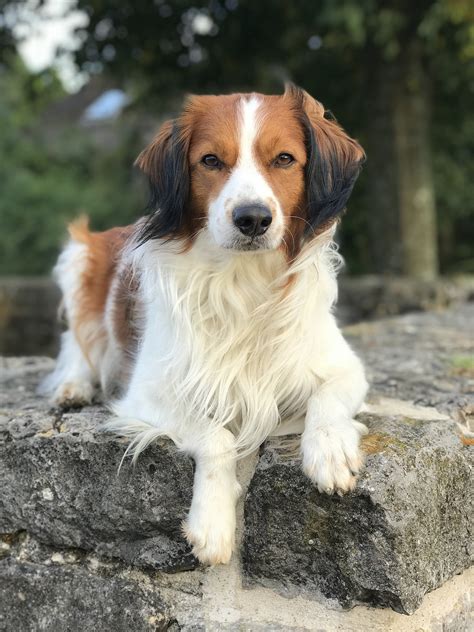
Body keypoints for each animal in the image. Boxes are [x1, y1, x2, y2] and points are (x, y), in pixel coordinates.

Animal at [41, 84, 366, 564]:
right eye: (211, 160)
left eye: (284, 159)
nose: (253, 219)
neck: (242, 280)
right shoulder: (146, 394)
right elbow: (217, 437)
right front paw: (212, 522)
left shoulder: (346, 366)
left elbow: (329, 397)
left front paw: (330, 450)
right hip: (78, 258)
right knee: (76, 345)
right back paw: (73, 386)